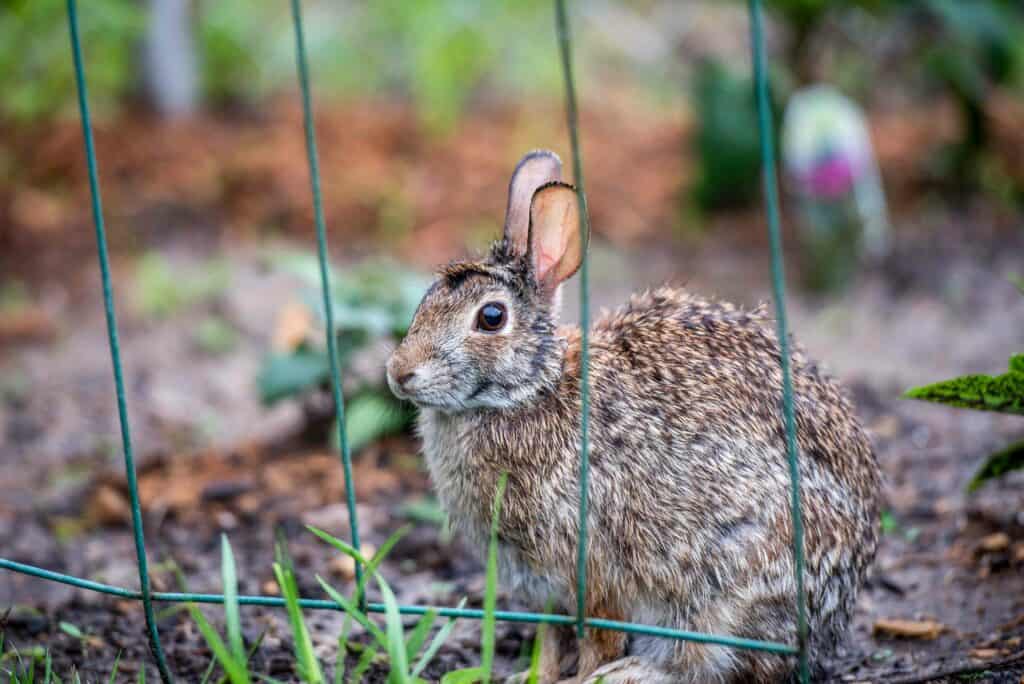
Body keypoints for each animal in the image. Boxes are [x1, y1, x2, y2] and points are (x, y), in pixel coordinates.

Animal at [386, 150, 882, 683]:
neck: (531, 389)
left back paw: (633, 672)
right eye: (425, 300)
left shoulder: (592, 568)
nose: (399, 372)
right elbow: (550, 639)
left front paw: (584, 679)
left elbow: (596, 638)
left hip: (731, 586)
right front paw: (532, 677)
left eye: (491, 318)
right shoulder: (541, 586)